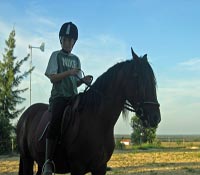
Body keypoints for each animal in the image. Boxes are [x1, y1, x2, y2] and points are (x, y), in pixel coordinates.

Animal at [16, 48, 161, 175]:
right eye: (138, 78)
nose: (156, 118)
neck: (97, 121)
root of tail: (25, 115)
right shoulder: (77, 167)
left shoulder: (100, 167)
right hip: (27, 159)